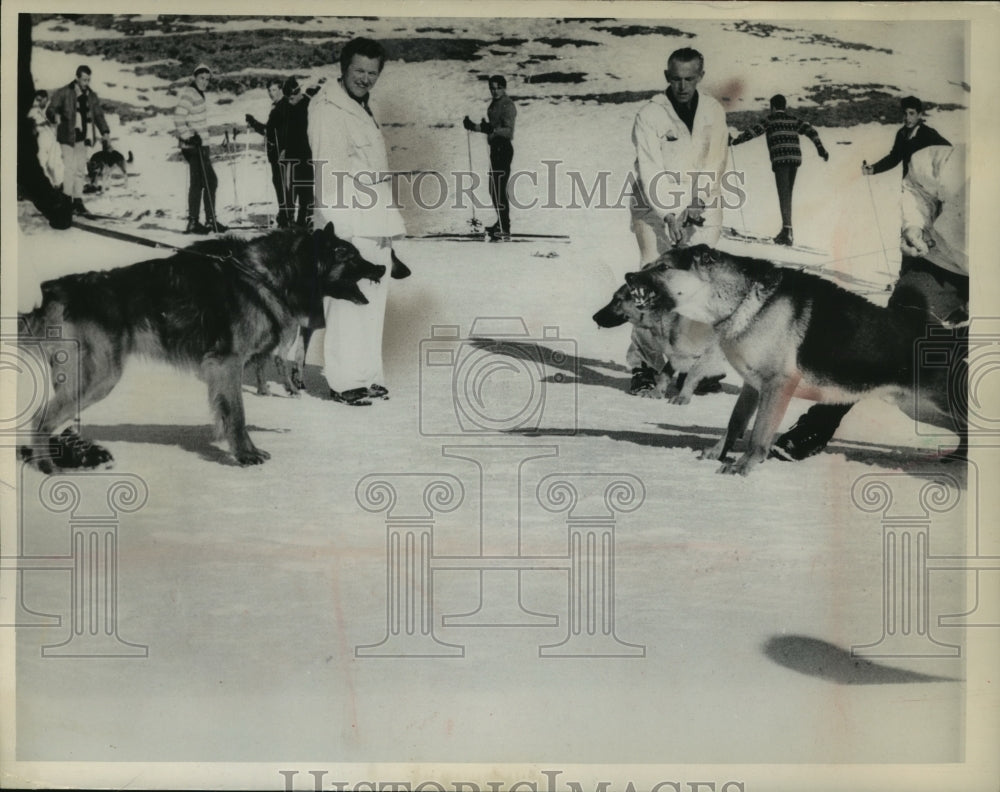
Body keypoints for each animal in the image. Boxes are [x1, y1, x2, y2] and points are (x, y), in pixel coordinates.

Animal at [20, 223, 386, 470]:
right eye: (349, 256)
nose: (382, 267)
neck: (265, 275)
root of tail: (57, 290)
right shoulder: (227, 364)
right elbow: (237, 415)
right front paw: (245, 454)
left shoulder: (224, 370)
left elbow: (226, 413)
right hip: (99, 377)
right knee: (40, 419)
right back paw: (48, 469)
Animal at [592, 280, 728, 402]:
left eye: (617, 300)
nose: (594, 317)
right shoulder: (675, 353)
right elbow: (664, 374)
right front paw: (657, 392)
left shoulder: (706, 354)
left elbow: (691, 376)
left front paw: (682, 397)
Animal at [624, 244, 968, 474]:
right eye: (652, 263)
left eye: (662, 268)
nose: (628, 275)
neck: (742, 300)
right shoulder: (753, 387)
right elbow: (735, 424)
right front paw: (718, 453)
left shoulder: (777, 387)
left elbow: (759, 434)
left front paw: (743, 467)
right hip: (921, 409)